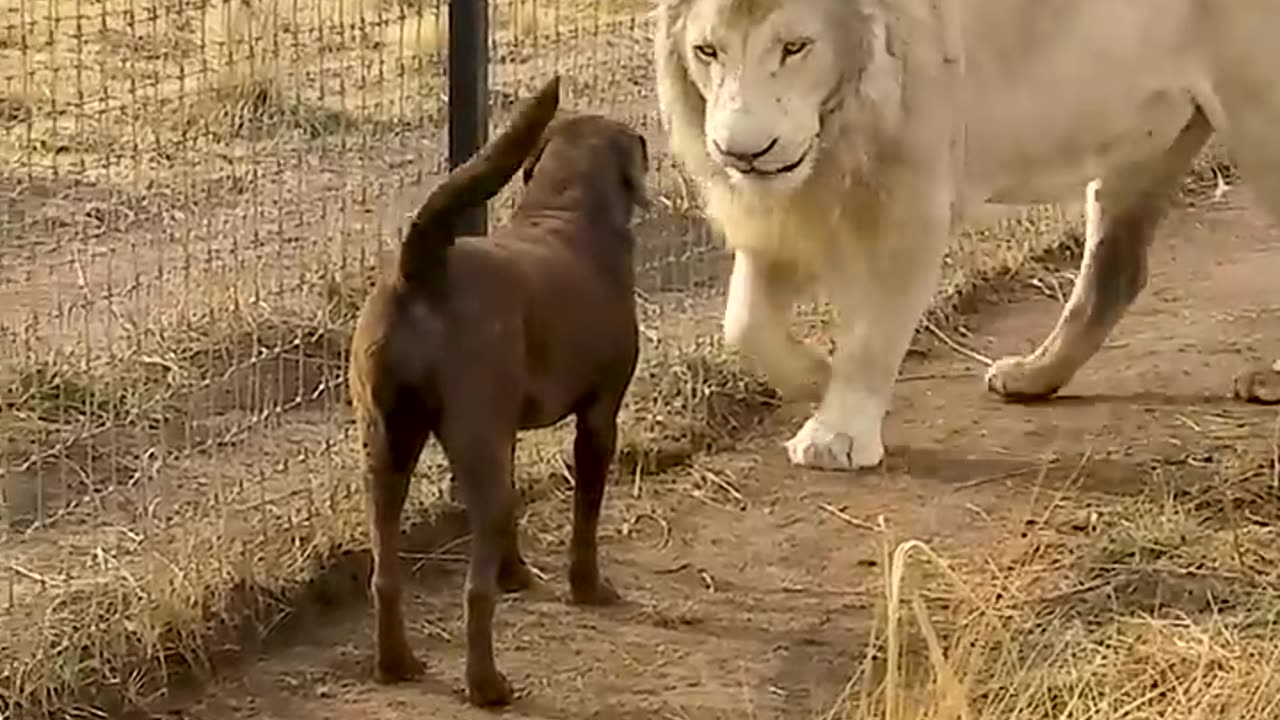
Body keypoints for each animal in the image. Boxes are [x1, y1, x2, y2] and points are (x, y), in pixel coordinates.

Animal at [345, 75, 650, 702]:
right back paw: (487, 685)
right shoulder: (599, 417)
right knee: (473, 592)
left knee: (386, 573)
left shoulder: (502, 433)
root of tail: (420, 269)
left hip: (386, 446)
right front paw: (588, 587)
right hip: (466, 442)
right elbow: (586, 516)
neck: (564, 210)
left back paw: (396, 664)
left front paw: (516, 574)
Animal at [655, 0, 1280, 468]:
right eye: (708, 51)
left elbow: (873, 335)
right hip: (1143, 139)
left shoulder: (911, 199)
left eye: (795, 47)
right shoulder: (783, 208)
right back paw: (1031, 377)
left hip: (1257, 116)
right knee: (1115, 274)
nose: (742, 152)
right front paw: (814, 377)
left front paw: (837, 436)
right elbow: (744, 322)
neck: (842, 124)